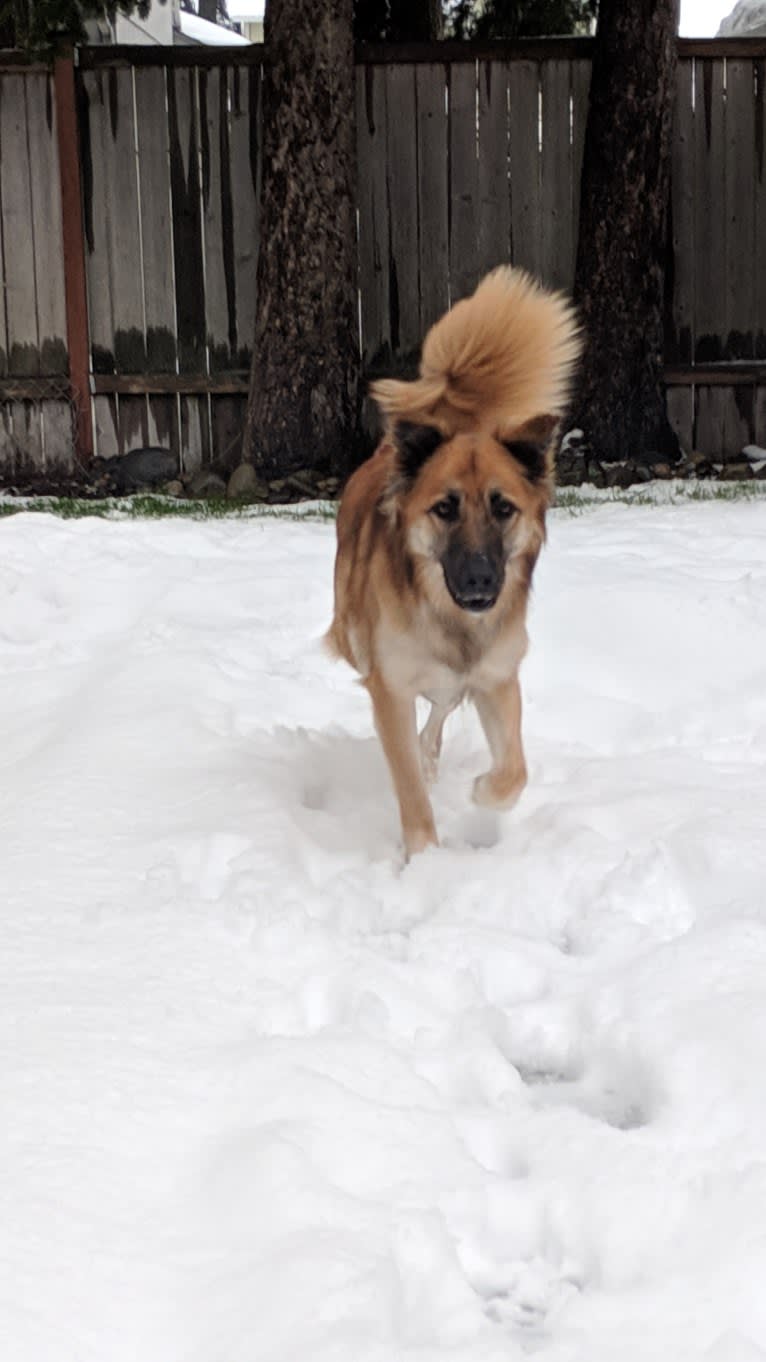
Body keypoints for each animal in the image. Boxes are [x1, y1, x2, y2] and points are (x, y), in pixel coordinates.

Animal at [323, 266, 577, 855]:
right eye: (445, 508)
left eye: (503, 508)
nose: (482, 579)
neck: (450, 618)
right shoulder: (390, 690)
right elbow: (411, 794)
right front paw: (424, 860)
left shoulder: (496, 677)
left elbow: (514, 770)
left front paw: (483, 793)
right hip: (351, 633)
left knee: (441, 708)